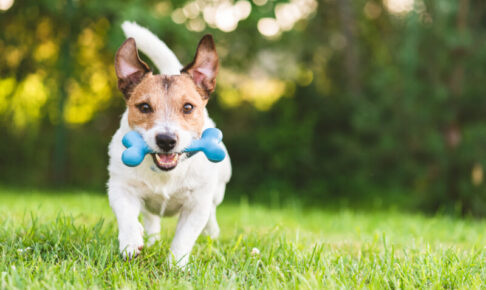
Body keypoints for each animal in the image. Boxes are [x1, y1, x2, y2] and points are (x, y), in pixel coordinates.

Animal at [107, 22, 232, 268]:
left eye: (188, 107)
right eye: (144, 107)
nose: (166, 140)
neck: (166, 173)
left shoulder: (196, 205)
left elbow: (184, 237)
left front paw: (177, 265)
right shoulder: (119, 187)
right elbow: (126, 214)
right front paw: (130, 242)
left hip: (218, 189)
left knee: (212, 212)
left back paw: (212, 234)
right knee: (151, 217)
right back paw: (150, 238)